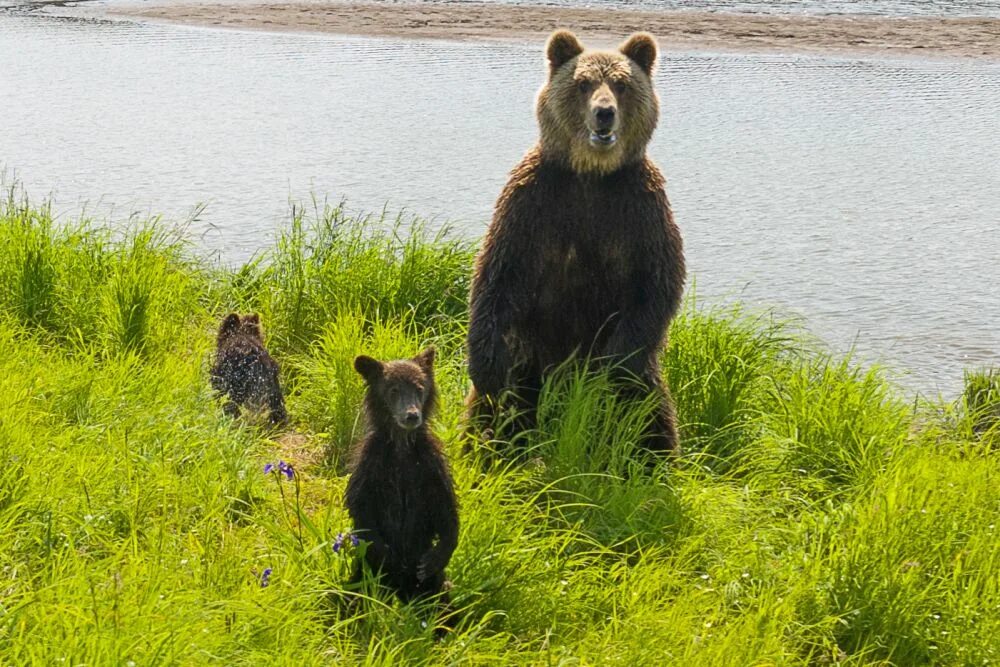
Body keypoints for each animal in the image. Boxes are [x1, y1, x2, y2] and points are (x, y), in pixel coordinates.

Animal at [346, 350, 458, 620]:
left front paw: (435, 557)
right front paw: (390, 557)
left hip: (433, 586)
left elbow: (445, 508)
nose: (411, 415)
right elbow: (361, 508)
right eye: (393, 389)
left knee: (445, 607)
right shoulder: (372, 465)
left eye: (419, 388)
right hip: (363, 572)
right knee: (353, 596)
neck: (401, 446)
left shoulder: (429, 466)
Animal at [464, 32, 684, 460]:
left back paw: (656, 459)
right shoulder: (534, 203)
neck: (592, 174)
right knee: (496, 410)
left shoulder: (639, 209)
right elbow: (497, 275)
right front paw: (485, 365)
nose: (604, 113)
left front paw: (615, 365)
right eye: (583, 84)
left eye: (621, 84)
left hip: (645, 382)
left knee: (652, 417)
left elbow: (657, 283)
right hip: (528, 362)